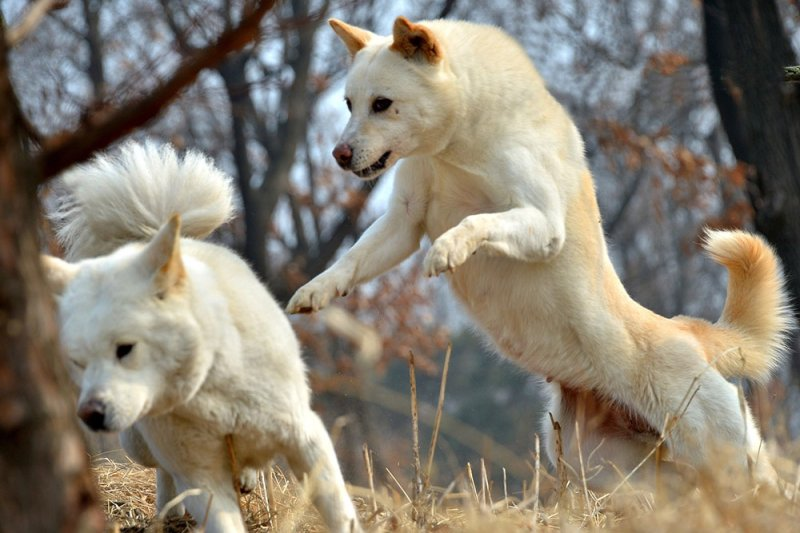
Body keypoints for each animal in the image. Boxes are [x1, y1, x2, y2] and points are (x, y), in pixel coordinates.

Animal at [44, 142, 362, 532]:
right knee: (164, 474)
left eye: (125, 349)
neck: (210, 384)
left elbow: (338, 510)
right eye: (78, 362)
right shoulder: (201, 478)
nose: (90, 414)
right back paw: (170, 510)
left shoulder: (305, 436)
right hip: (138, 443)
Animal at [290, 15, 792, 490]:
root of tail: (688, 330)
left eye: (382, 103)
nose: (339, 154)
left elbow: (476, 222)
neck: (458, 144)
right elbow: (351, 261)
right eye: (349, 104)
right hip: (606, 470)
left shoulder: (543, 224)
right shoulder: (405, 222)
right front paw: (315, 292)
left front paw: (450, 248)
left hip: (724, 451)